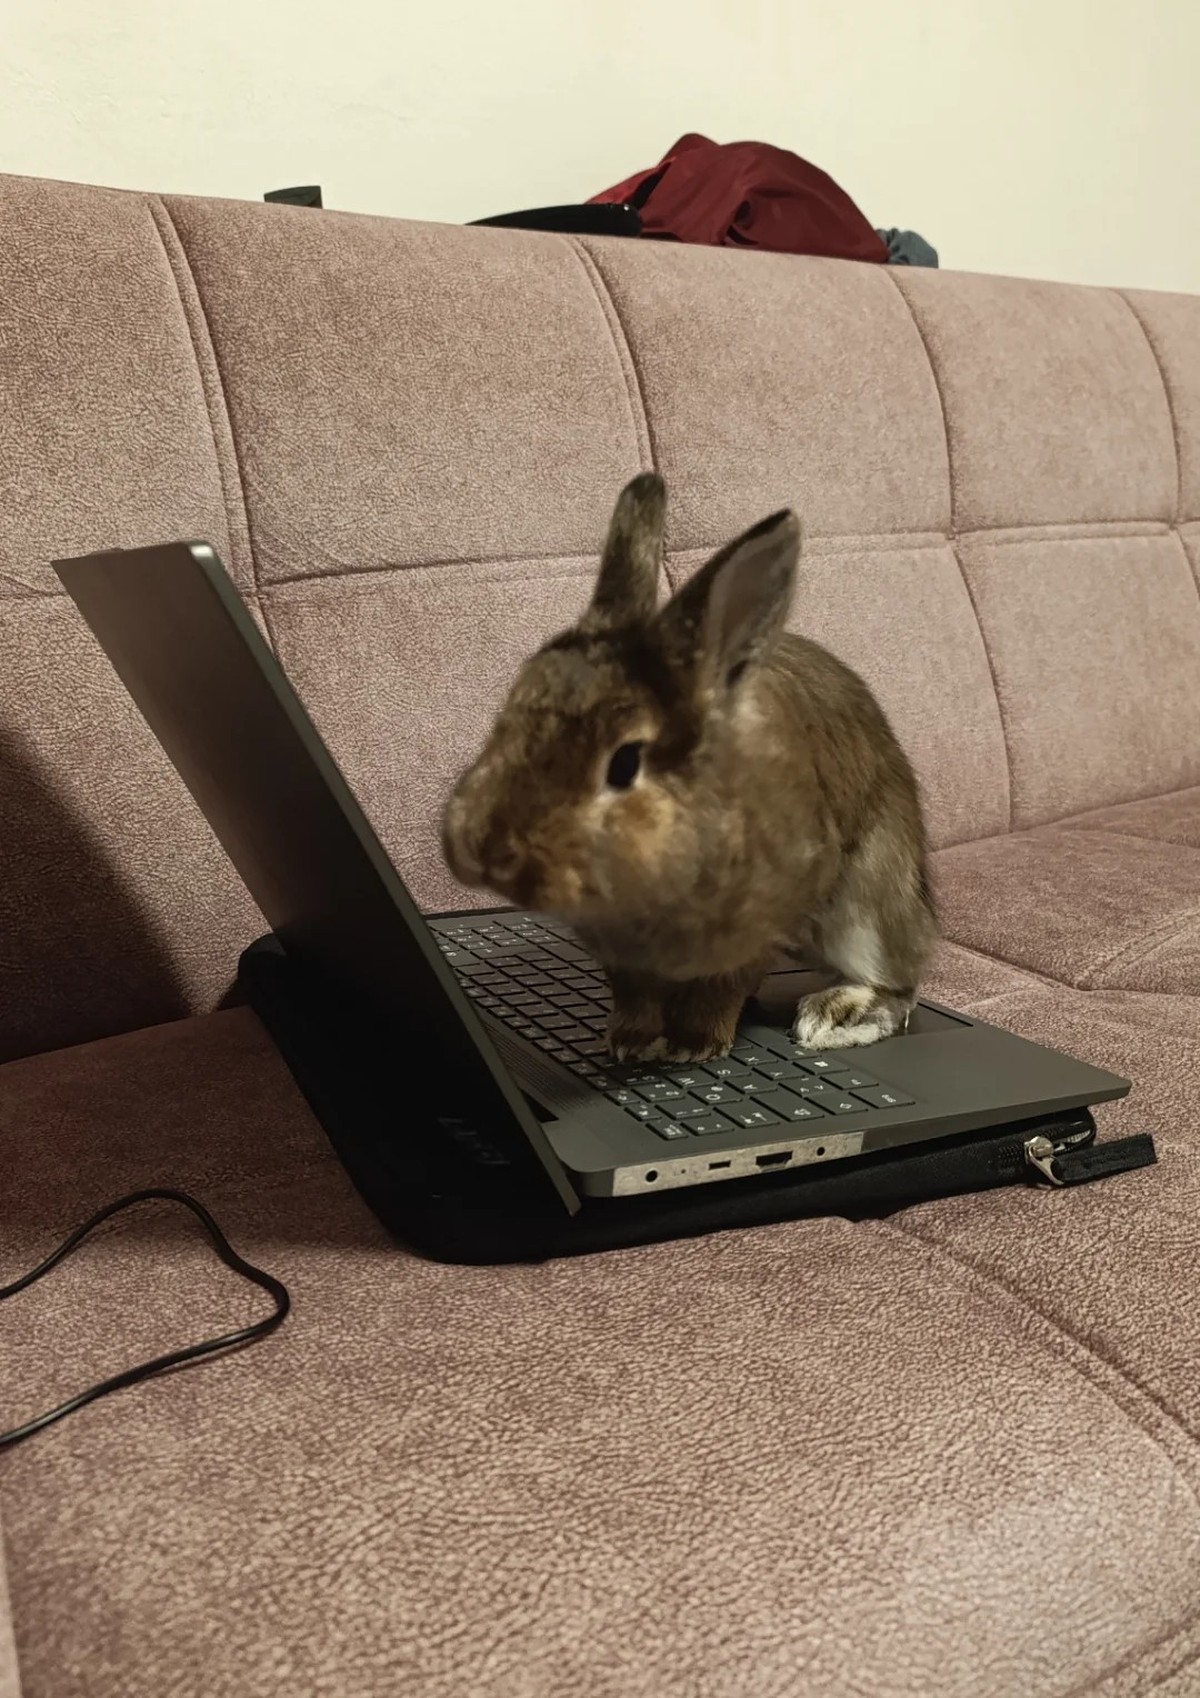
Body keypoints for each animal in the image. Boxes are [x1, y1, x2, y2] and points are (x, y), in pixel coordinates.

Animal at [441, 472, 937, 1063]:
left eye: (625, 763)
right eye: (510, 712)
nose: (484, 849)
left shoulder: (764, 920)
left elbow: (720, 990)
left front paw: (695, 1046)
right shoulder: (624, 957)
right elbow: (635, 995)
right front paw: (631, 1043)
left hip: (869, 900)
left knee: (899, 980)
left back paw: (835, 1015)